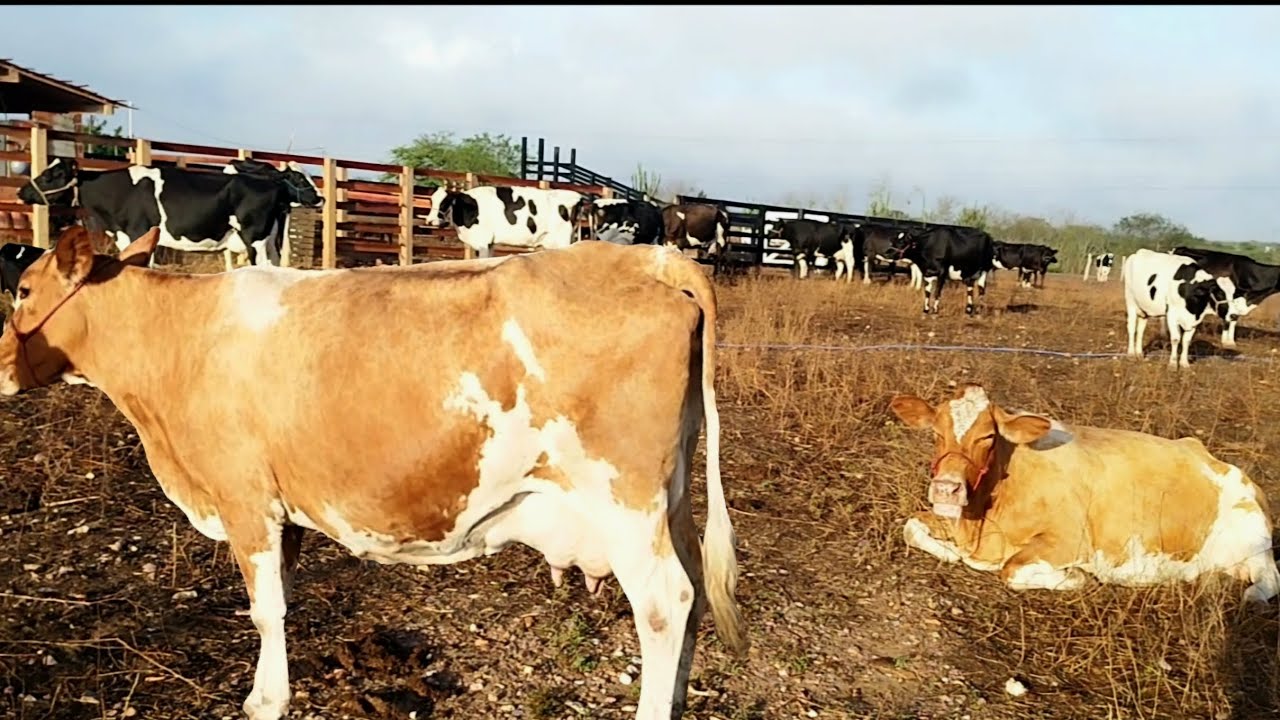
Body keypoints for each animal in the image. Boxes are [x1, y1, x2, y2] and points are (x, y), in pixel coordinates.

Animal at [0, 225, 749, 720]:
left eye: (25, 288)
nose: (1, 366)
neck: (182, 339)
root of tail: (644, 257)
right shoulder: (285, 511)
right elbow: (282, 602)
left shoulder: (245, 499)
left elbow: (264, 609)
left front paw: (265, 697)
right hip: (668, 500)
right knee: (693, 597)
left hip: (622, 499)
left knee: (664, 604)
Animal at [17, 158, 323, 273]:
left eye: (52, 175)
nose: (21, 191)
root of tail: (272, 182)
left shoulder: (137, 234)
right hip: (270, 241)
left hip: (255, 239)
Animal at [424, 184, 588, 258]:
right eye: (431, 201)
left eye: (445, 202)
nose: (430, 221)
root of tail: (577, 196)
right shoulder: (489, 243)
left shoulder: (482, 242)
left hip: (562, 241)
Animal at [889, 383, 1279, 603]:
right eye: (936, 432)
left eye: (988, 436)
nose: (947, 488)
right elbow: (911, 526)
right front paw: (949, 553)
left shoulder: (1070, 541)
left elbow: (1012, 570)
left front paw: (1076, 577)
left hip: (1253, 541)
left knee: (1266, 584)